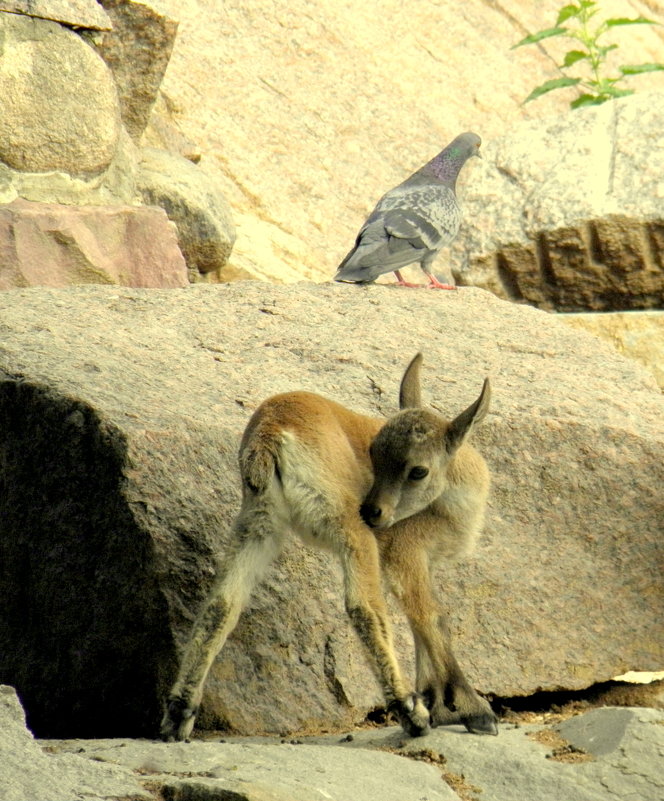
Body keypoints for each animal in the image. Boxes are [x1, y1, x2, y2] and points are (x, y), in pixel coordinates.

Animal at [160, 354, 498, 740]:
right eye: (373, 453)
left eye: (416, 470)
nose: (373, 511)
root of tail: (271, 433)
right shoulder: (404, 553)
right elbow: (432, 617)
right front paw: (472, 711)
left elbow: (419, 623)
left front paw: (441, 704)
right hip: (348, 528)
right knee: (363, 607)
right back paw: (410, 713)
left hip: (257, 524)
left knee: (221, 604)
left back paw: (179, 714)